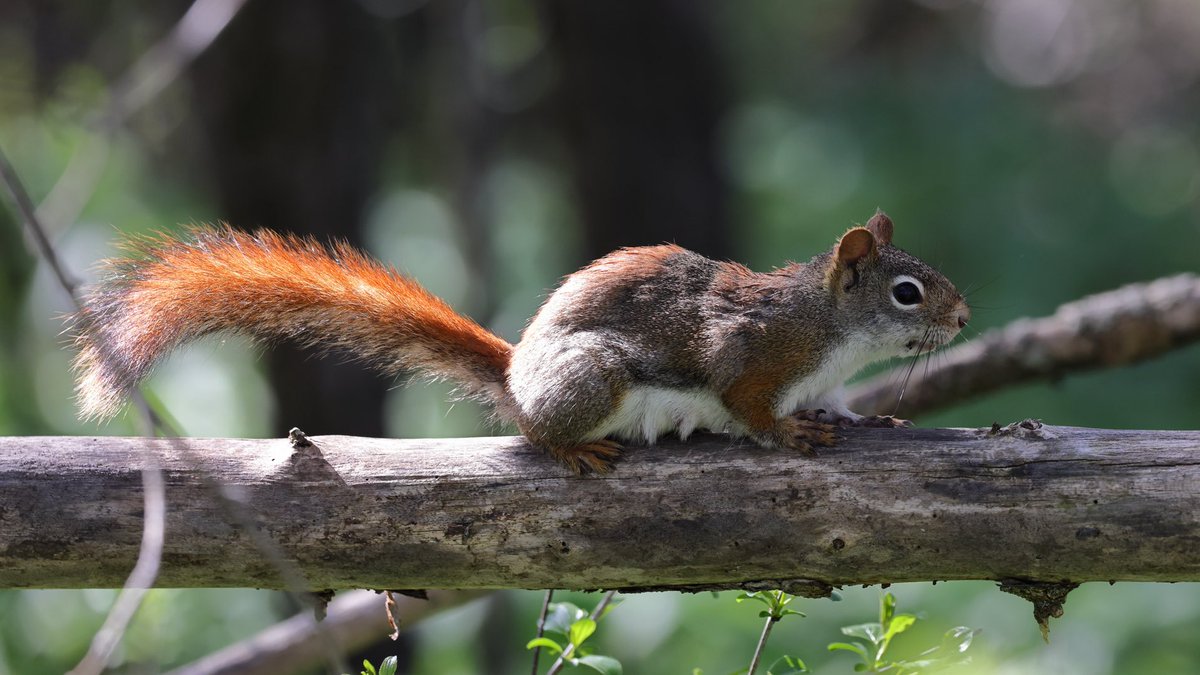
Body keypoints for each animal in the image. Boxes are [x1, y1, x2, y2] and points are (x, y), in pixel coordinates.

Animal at [72, 212, 964, 470]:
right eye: (907, 292)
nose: (962, 318)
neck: (832, 332)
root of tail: (517, 377)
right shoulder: (755, 351)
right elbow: (746, 405)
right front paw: (786, 433)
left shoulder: (822, 375)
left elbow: (842, 407)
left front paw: (868, 418)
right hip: (593, 378)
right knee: (538, 431)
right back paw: (572, 448)